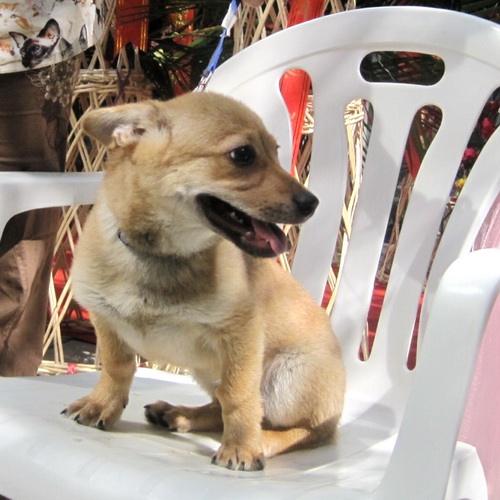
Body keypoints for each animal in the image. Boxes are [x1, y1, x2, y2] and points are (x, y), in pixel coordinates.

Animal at [63, 92, 346, 471]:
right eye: (243, 155)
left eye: (275, 151)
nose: (312, 203)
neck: (158, 255)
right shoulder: (106, 322)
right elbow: (117, 368)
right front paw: (102, 405)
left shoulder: (241, 336)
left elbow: (239, 397)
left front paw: (241, 447)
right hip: (207, 370)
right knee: (219, 405)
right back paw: (179, 414)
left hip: (287, 378)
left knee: (308, 431)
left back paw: (262, 441)